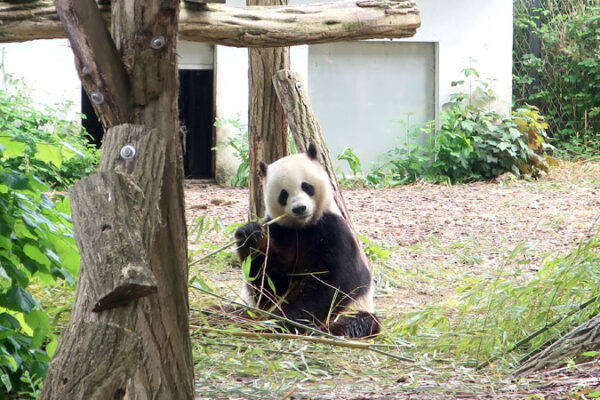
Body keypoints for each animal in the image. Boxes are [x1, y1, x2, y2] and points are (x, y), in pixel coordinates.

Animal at [234, 144, 380, 338]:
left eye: (306, 186)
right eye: (283, 195)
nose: (299, 208)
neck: (302, 226)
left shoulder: (334, 230)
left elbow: (333, 283)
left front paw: (285, 320)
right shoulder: (280, 231)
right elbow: (267, 282)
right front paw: (249, 234)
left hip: (355, 308)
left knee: (360, 322)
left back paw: (330, 330)